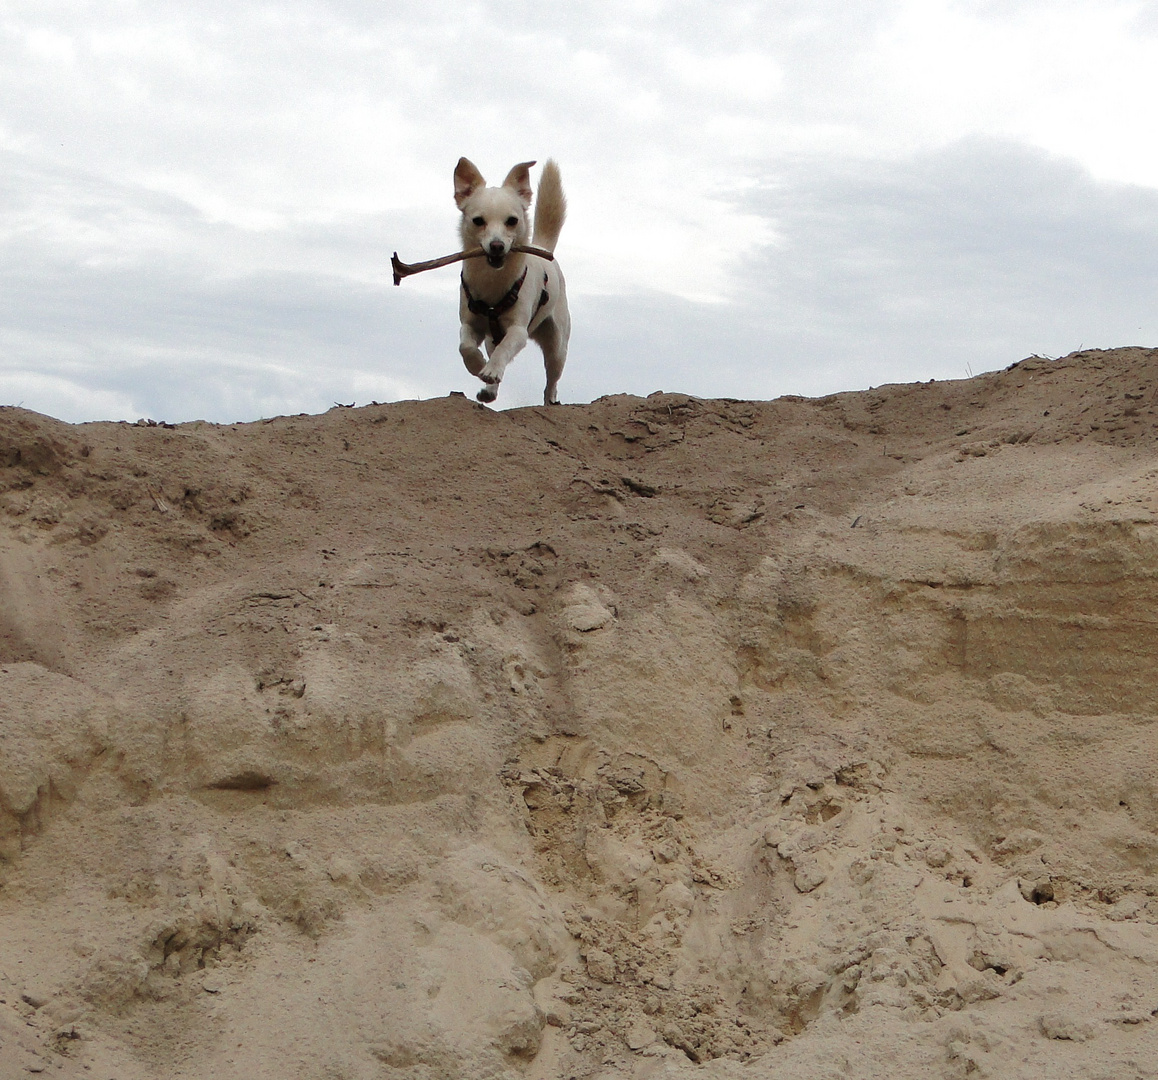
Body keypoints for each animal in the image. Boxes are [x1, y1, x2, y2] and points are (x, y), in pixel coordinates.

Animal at [451, 160, 569, 409]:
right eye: (478, 221)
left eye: (512, 221)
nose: (496, 246)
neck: (493, 281)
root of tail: (542, 248)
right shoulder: (470, 323)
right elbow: (465, 346)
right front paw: (478, 365)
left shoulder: (518, 331)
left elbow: (505, 349)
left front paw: (492, 370)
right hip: (490, 339)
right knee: (492, 349)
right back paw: (489, 389)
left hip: (557, 347)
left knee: (552, 378)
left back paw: (550, 400)